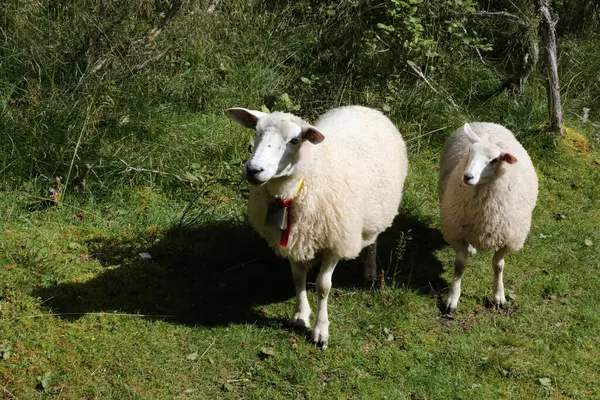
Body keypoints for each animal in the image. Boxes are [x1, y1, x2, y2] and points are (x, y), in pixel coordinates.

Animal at [225, 105, 408, 346]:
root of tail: (364, 107)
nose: (254, 170)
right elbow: (297, 277)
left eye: (295, 140)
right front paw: (300, 315)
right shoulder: (292, 238)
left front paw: (321, 329)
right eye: (257, 131)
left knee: (373, 239)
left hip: (376, 212)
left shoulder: (334, 242)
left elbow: (323, 286)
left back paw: (369, 270)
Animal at [436, 122, 540, 312]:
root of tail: (487, 123)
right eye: (470, 151)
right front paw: (452, 298)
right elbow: (460, 266)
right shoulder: (457, 233)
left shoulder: (508, 239)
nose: (467, 176)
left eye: (494, 160)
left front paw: (499, 296)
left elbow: (498, 266)